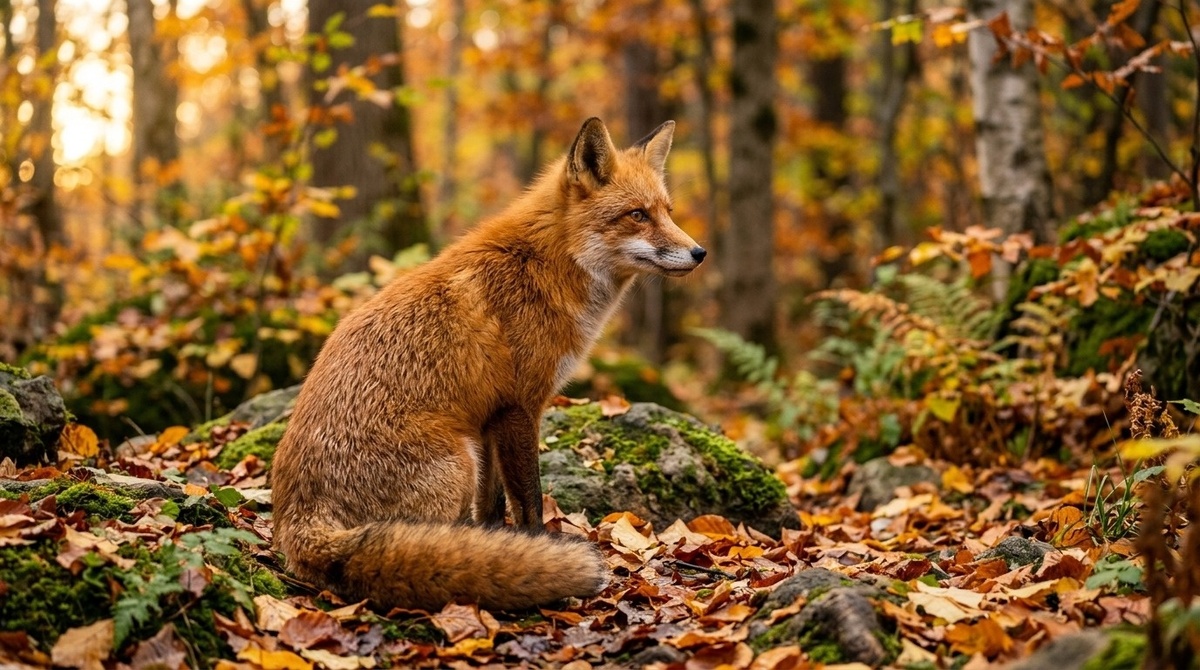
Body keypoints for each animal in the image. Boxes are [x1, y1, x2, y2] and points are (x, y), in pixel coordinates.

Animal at [270, 117, 706, 611]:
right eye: (637, 215)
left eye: (667, 211)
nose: (699, 253)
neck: (545, 266)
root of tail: (297, 522)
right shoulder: (521, 407)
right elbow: (530, 501)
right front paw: (537, 549)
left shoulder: (489, 419)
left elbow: (494, 507)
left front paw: (505, 547)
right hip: (459, 460)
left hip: (469, 453)